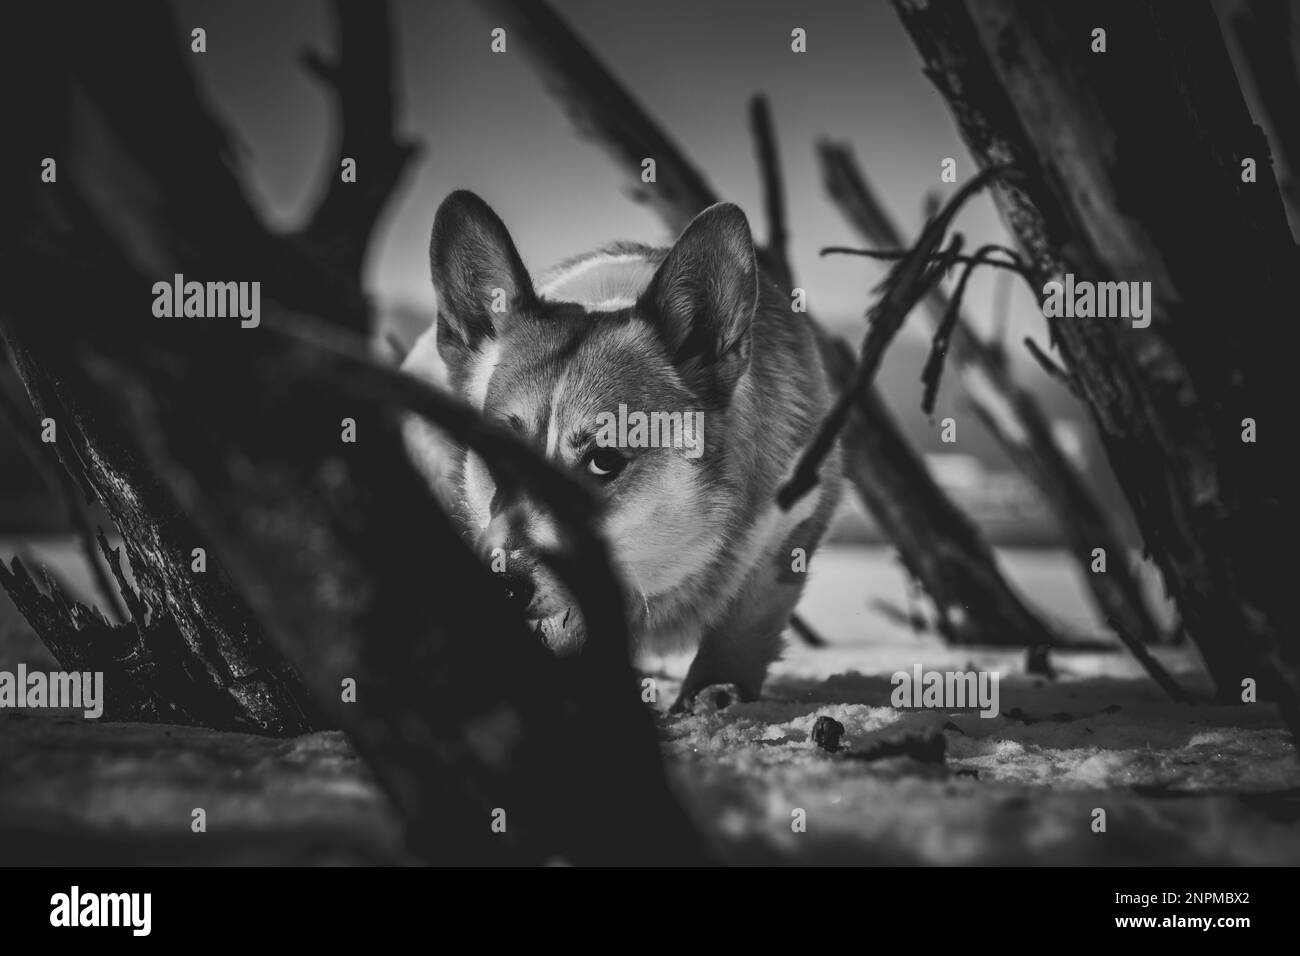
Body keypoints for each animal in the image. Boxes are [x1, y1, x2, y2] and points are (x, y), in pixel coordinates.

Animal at [400, 188, 842, 712]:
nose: (504, 585)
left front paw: (715, 692)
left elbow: (741, 632)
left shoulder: (790, 522)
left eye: (604, 460)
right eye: (495, 452)